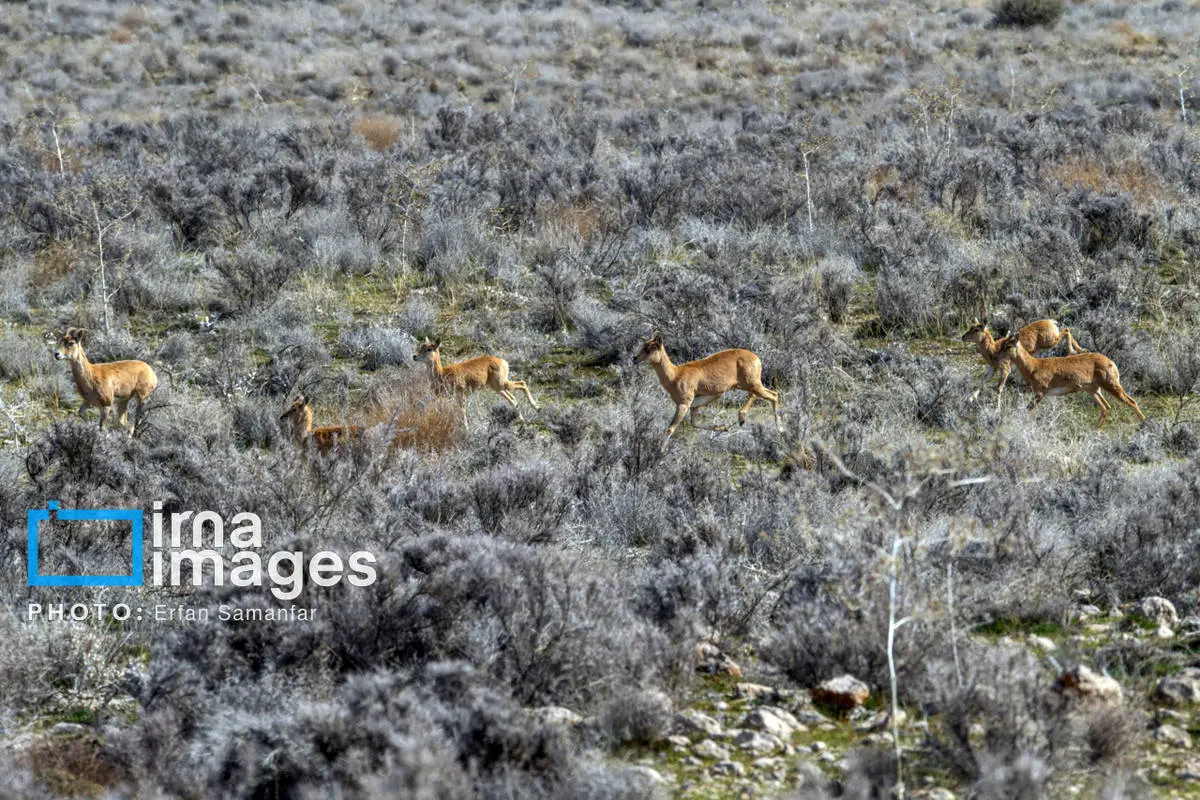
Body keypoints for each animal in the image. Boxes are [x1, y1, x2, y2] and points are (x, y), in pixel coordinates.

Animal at [412, 338, 540, 424]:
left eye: (429, 349)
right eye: (421, 346)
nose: (414, 356)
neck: (442, 374)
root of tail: (503, 361)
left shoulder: (461, 394)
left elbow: (462, 411)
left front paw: (466, 428)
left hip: (501, 384)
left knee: (522, 383)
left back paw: (536, 407)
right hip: (497, 388)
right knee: (513, 398)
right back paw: (522, 419)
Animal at [635, 332, 781, 443]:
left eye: (651, 348)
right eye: (643, 346)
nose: (635, 358)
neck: (675, 374)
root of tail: (756, 357)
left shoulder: (684, 404)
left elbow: (669, 429)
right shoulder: (695, 405)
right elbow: (695, 423)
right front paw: (724, 427)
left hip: (752, 385)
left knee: (773, 396)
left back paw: (776, 428)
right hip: (747, 385)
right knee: (767, 394)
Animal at [994, 334, 1145, 430]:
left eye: (1008, 346)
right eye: (1002, 344)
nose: (995, 357)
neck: (1034, 365)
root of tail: (1111, 362)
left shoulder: (1041, 392)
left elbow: (1028, 409)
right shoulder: (1031, 388)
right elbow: (1017, 392)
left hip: (1111, 386)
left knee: (1131, 401)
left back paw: (1144, 424)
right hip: (1093, 390)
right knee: (1106, 407)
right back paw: (1095, 430)